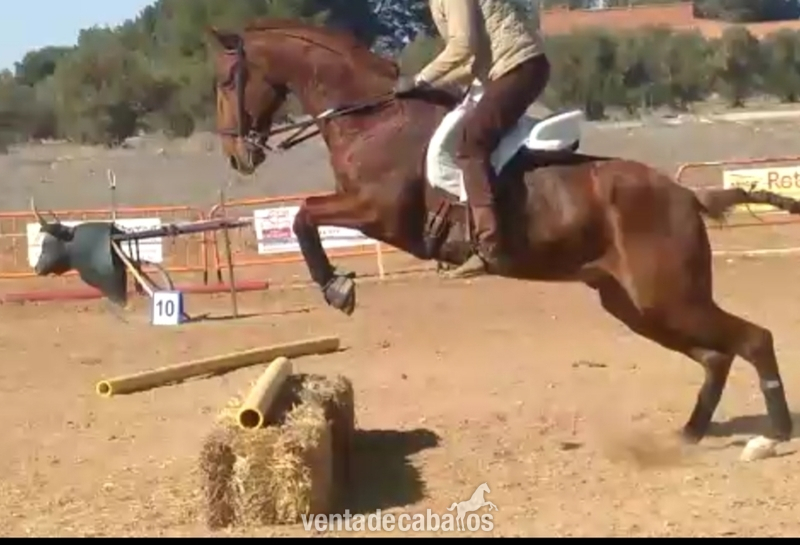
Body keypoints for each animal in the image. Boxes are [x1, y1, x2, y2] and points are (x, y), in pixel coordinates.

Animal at [208, 19, 800, 447]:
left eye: (226, 81)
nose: (237, 156)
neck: (372, 117)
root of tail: (685, 195)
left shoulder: (379, 214)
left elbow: (304, 215)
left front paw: (337, 288)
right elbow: (305, 214)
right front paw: (337, 285)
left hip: (667, 296)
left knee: (753, 340)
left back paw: (776, 434)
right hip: (634, 305)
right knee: (718, 355)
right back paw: (692, 432)